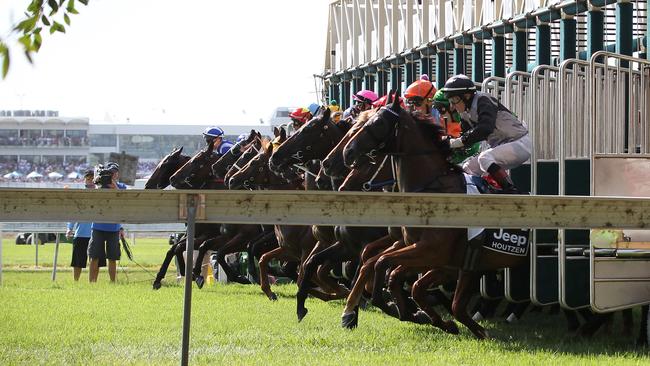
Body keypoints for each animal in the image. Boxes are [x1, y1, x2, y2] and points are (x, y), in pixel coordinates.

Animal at [342, 93, 524, 338]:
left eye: (378, 123)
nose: (348, 152)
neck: (432, 188)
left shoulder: (432, 251)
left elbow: (383, 265)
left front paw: (405, 311)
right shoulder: (426, 252)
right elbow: (380, 265)